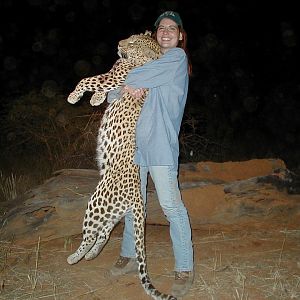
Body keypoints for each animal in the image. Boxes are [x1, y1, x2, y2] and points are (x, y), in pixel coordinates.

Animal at [65, 31, 176, 298]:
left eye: (133, 43)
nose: (118, 44)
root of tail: (137, 195)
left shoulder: (114, 76)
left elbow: (87, 79)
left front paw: (74, 96)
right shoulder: (112, 79)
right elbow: (99, 88)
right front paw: (96, 100)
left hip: (97, 202)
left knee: (91, 233)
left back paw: (75, 257)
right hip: (113, 211)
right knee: (103, 233)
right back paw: (91, 255)